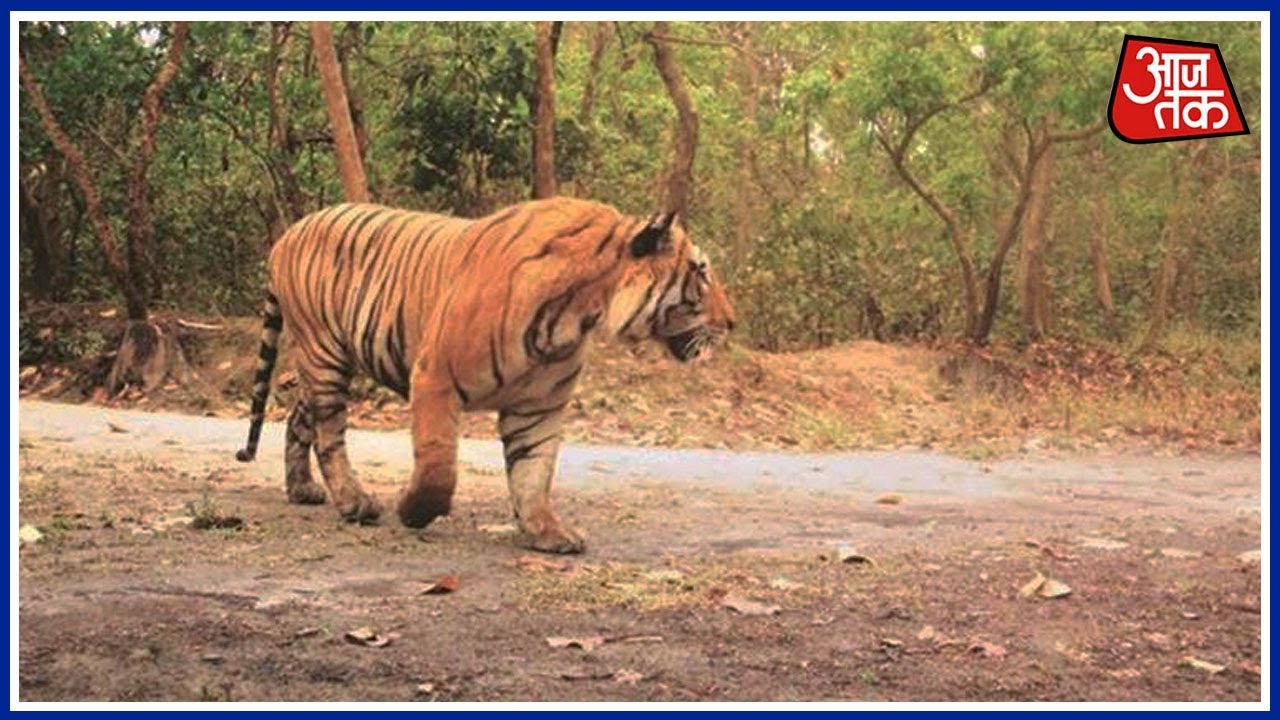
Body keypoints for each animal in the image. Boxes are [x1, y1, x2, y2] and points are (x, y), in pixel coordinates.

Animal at [235, 197, 735, 553]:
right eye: (701, 272)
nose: (732, 323)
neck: (581, 312)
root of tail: (289, 232)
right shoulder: (435, 376)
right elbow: (439, 467)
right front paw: (413, 511)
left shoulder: (539, 406)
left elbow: (534, 472)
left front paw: (547, 532)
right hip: (325, 355)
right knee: (328, 433)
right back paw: (354, 502)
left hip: (327, 361)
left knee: (300, 417)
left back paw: (302, 489)